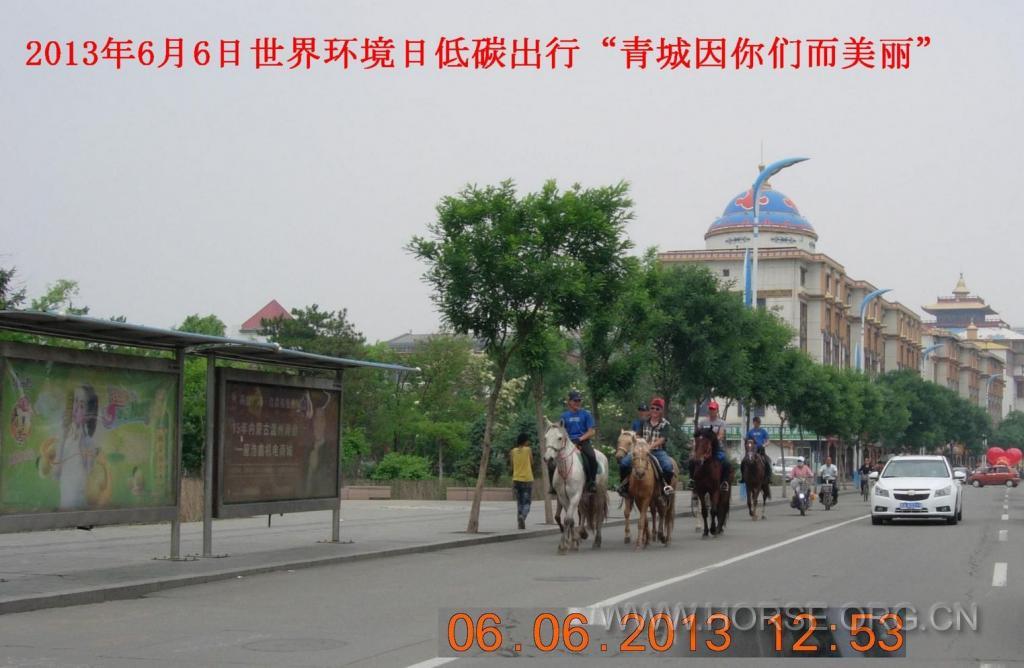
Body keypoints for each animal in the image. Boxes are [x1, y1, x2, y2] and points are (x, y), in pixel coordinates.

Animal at [543, 419, 607, 554]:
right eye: (546, 437)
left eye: (559, 438)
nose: (548, 458)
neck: (566, 469)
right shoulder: (563, 497)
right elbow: (571, 520)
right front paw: (573, 543)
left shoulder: (575, 496)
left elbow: (568, 519)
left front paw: (563, 546)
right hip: (584, 496)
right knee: (583, 513)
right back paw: (582, 534)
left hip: (599, 494)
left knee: (598, 515)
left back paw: (597, 541)